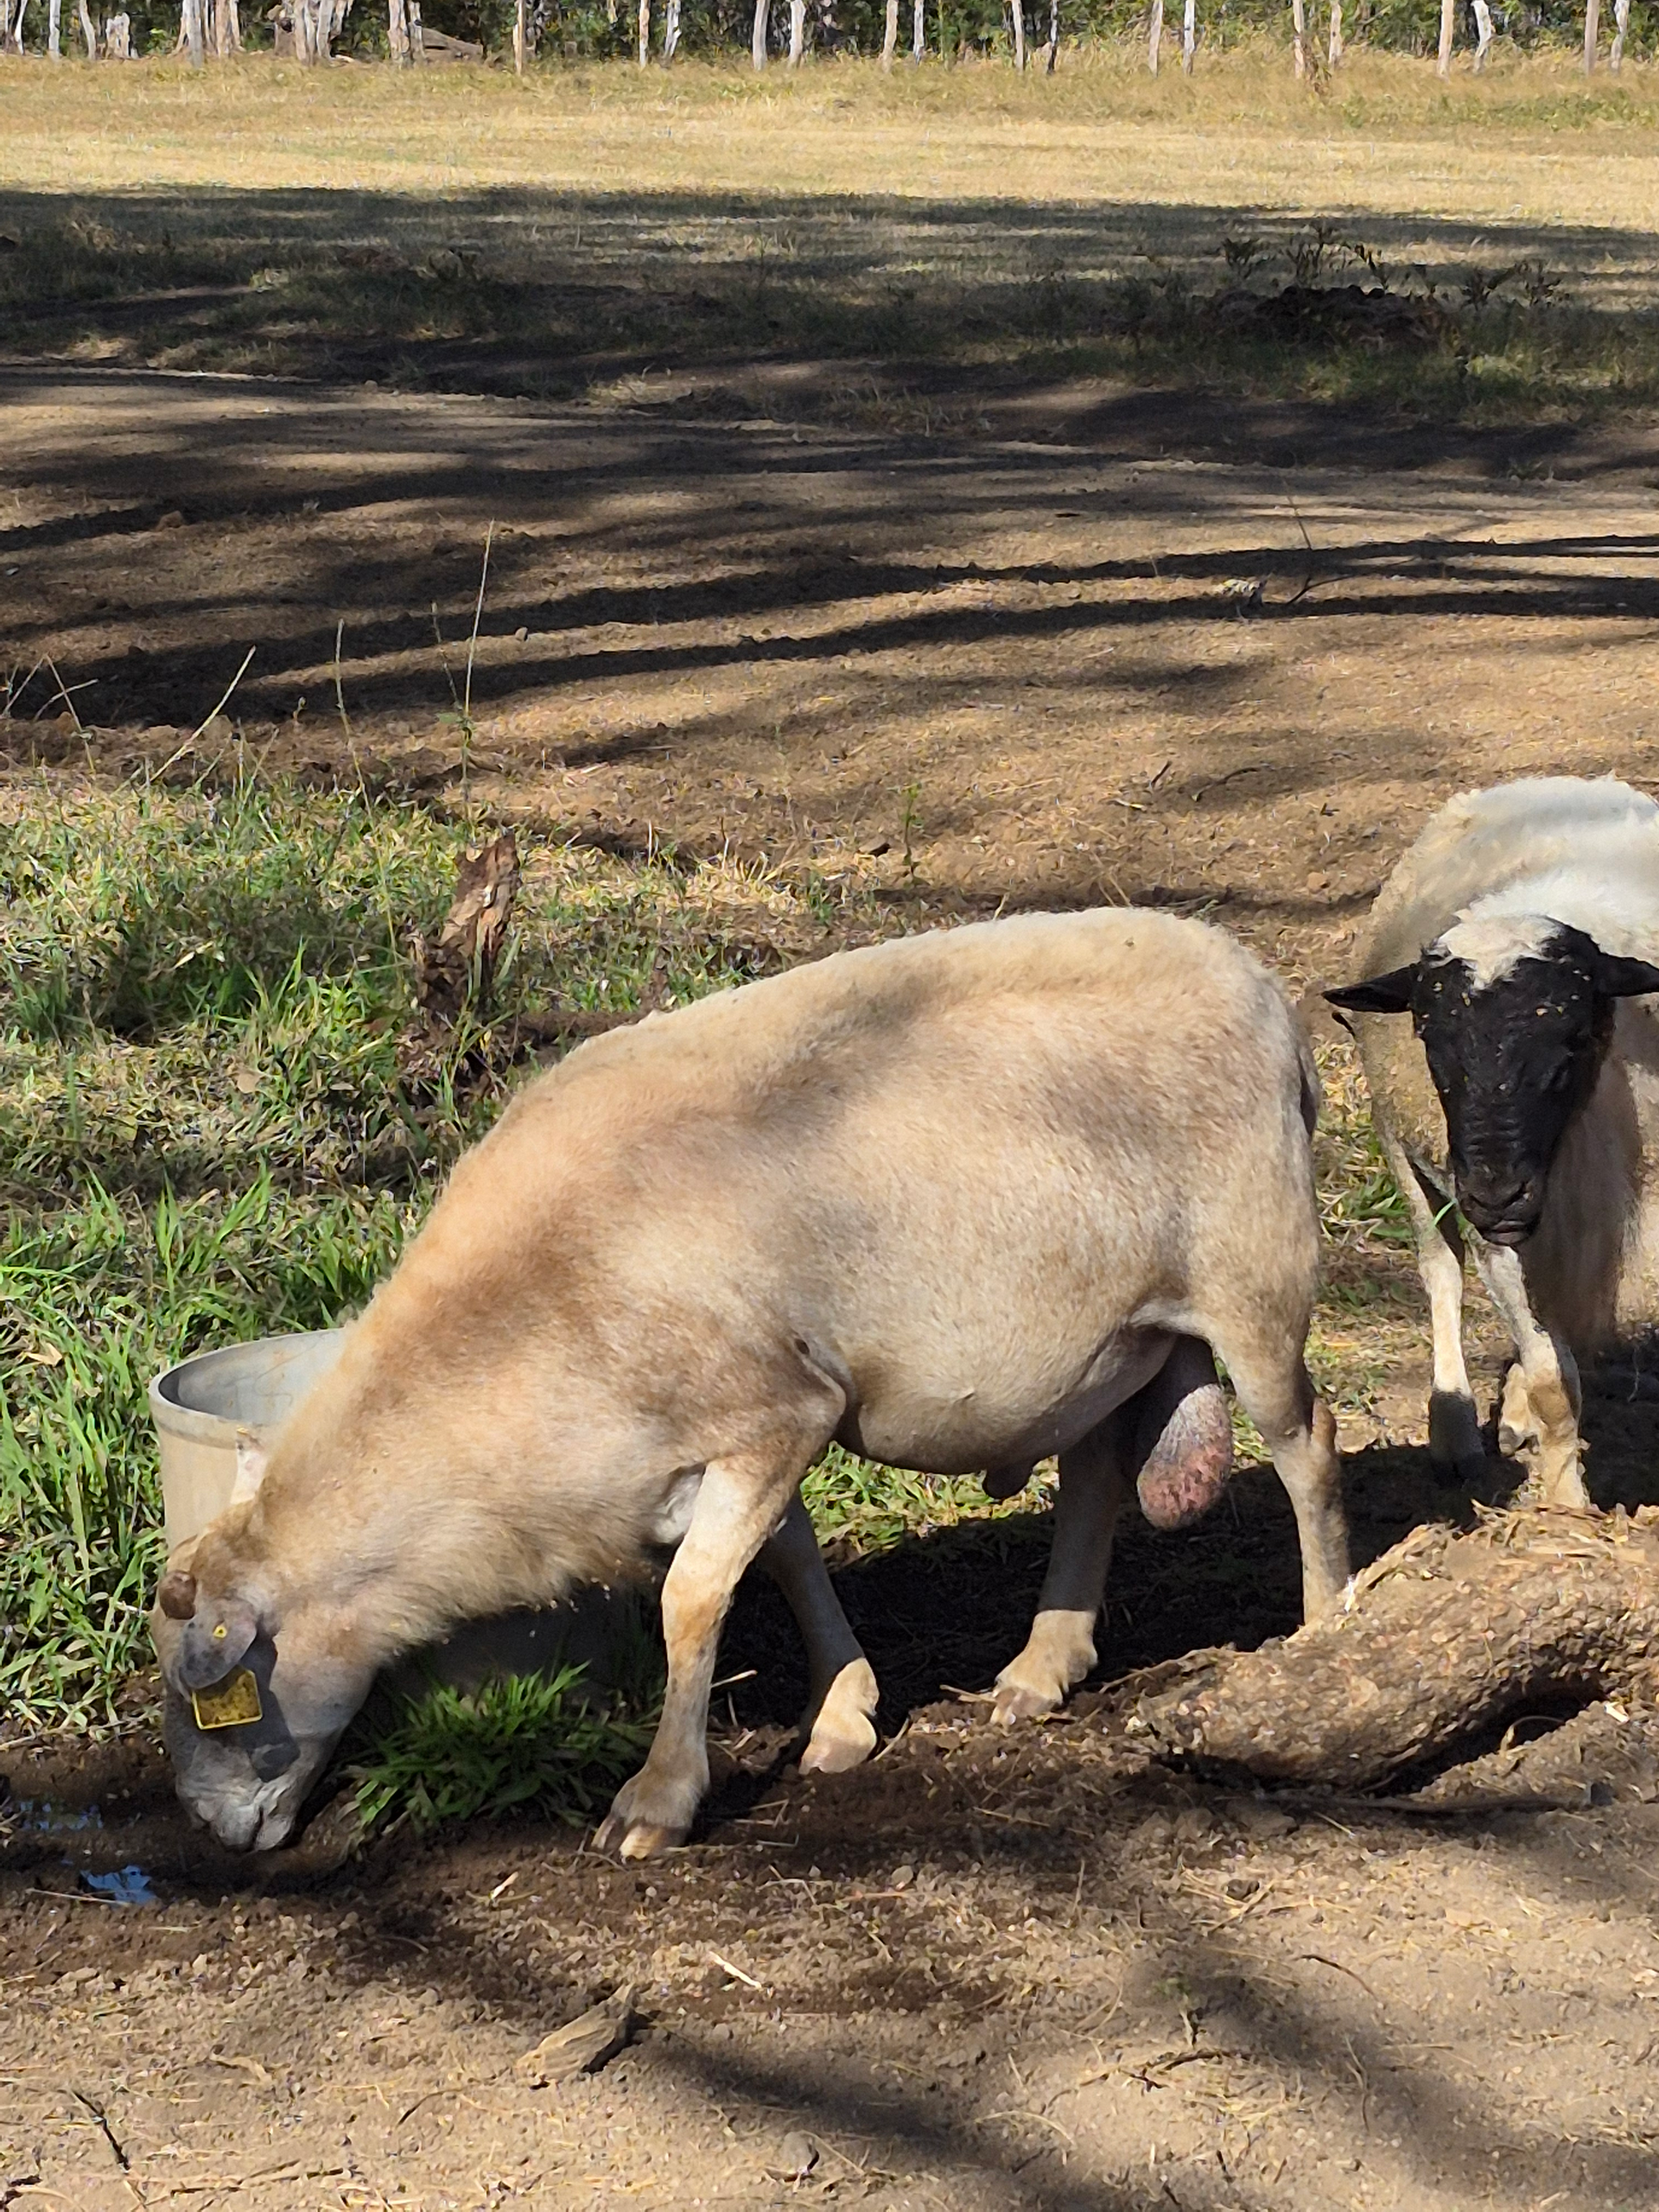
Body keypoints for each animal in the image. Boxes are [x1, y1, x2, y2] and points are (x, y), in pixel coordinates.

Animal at [153, 905, 1348, 1862]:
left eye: (215, 1694)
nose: (207, 1833)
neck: (527, 1314)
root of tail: (1262, 989)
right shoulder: (755, 1427)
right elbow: (783, 1559)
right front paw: (844, 1714)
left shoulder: (775, 1411)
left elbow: (691, 1601)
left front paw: (659, 1800)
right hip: (1114, 1329)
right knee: (1098, 1469)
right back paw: (1040, 1667)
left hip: (1254, 1275)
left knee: (1310, 1444)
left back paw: (1324, 1630)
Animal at [1327, 776, 1659, 1504]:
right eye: (1430, 1039)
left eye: (1573, 1036)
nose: (1495, 1192)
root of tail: (1540, 783)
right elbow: (1554, 1383)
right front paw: (1567, 1508)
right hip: (1405, 1152)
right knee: (1442, 1274)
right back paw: (1455, 1433)